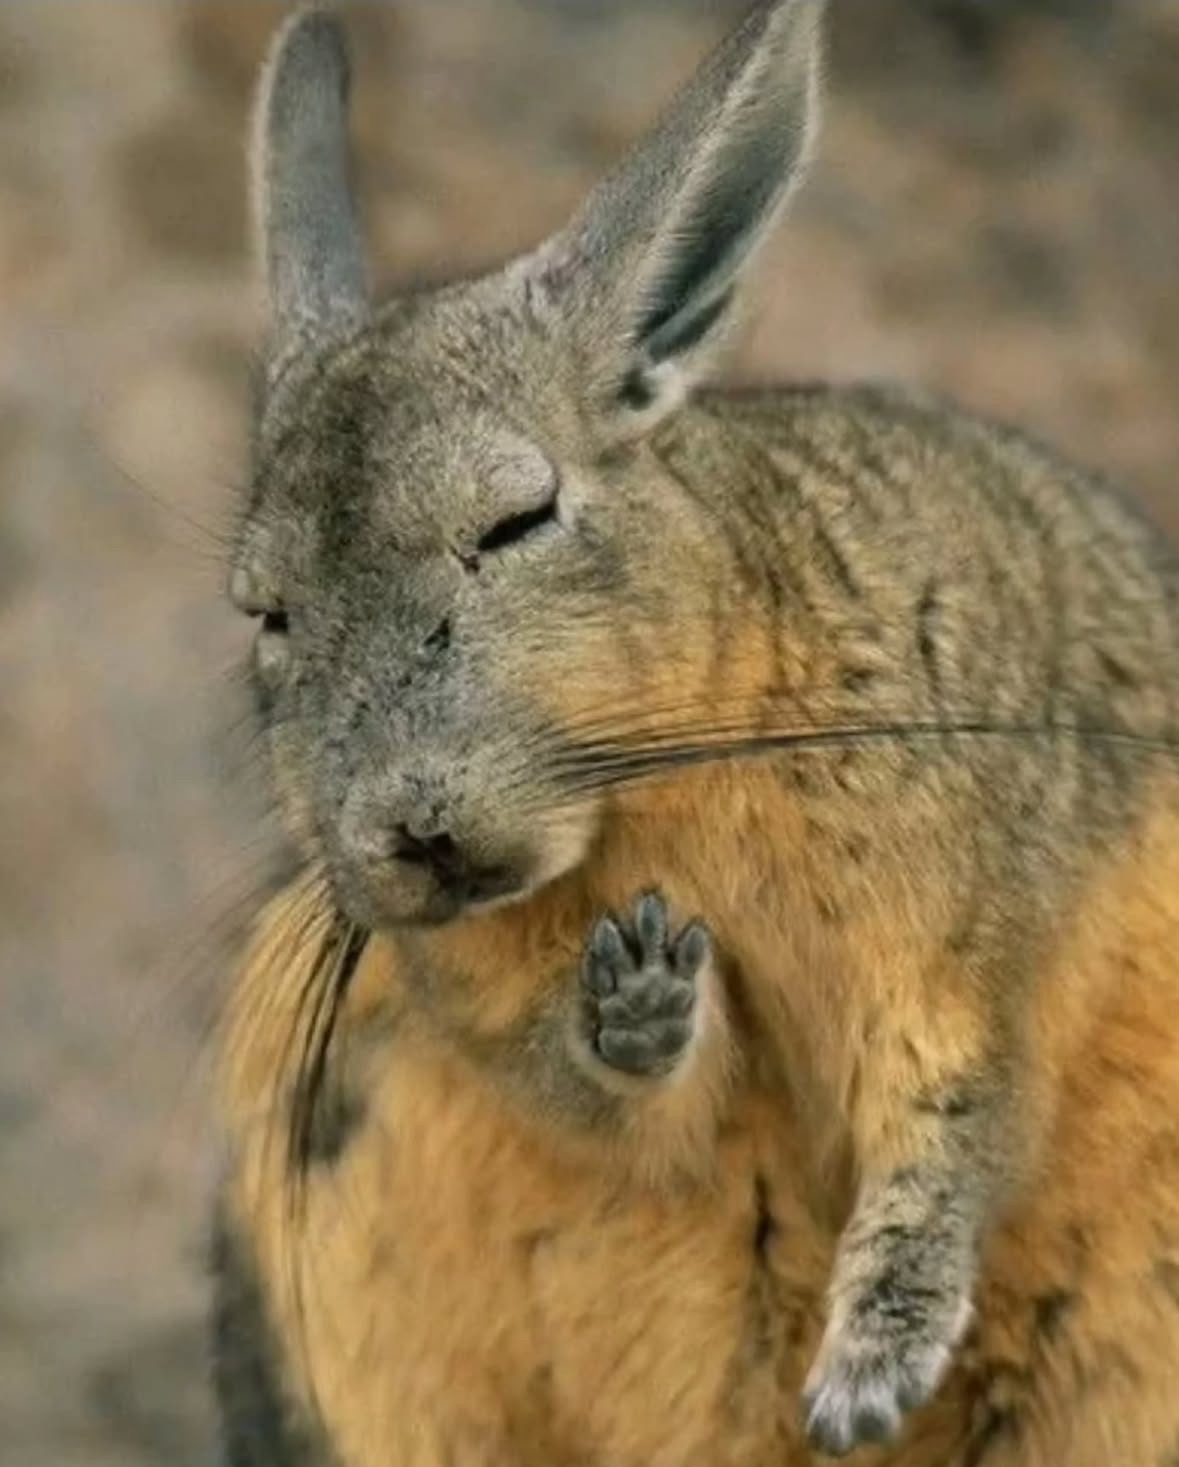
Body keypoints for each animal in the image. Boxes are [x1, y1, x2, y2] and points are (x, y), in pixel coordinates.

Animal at [213, 2, 1179, 1464]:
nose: (413, 838)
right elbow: (629, 1110)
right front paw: (639, 995)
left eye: (517, 519)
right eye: (266, 612)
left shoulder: (966, 931)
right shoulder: (484, 1006)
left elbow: (956, 1112)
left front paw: (864, 1382)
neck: (648, 785)